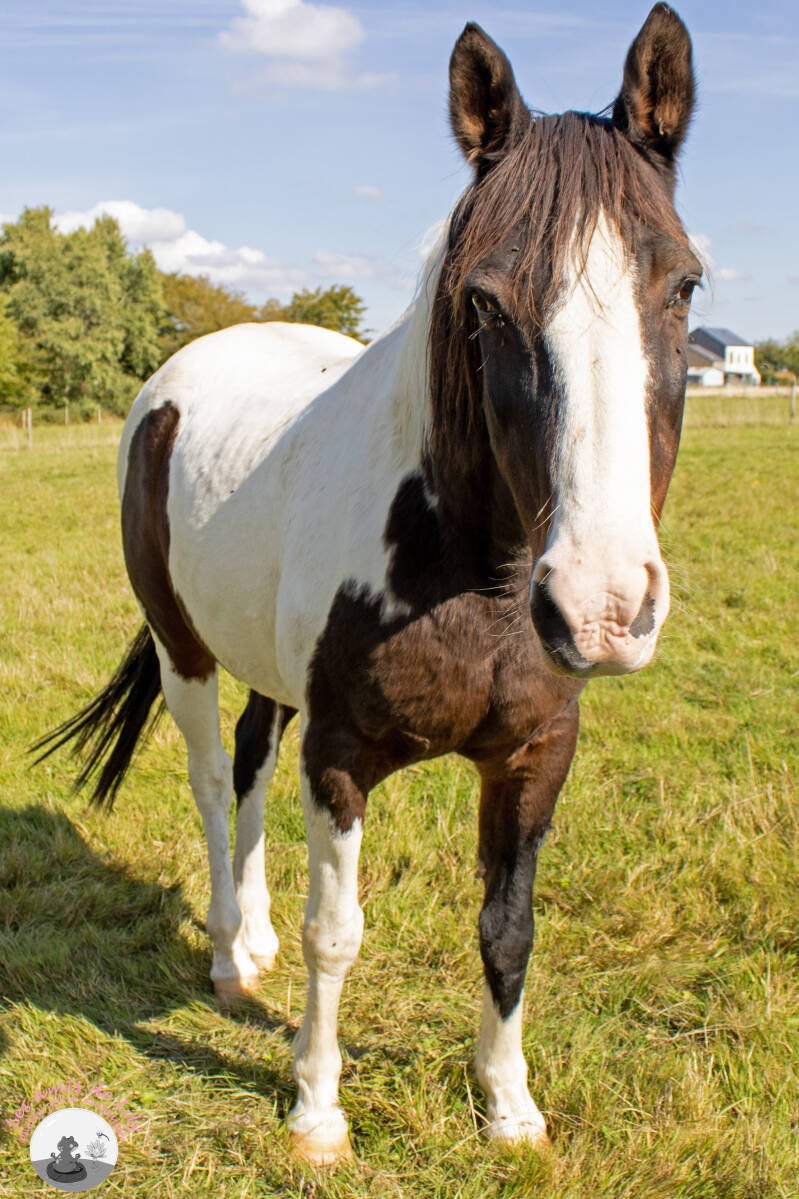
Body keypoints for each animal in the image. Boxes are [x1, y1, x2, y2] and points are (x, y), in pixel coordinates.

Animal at [36, 4, 699, 1166]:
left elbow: (508, 927)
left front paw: (508, 1103)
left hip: (269, 676)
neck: (472, 579)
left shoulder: (535, 754)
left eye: (684, 285)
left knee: (251, 767)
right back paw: (228, 953)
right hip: (184, 651)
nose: (604, 607)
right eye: (484, 301)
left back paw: (250, 937)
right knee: (210, 783)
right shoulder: (341, 755)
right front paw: (314, 1110)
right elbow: (335, 933)